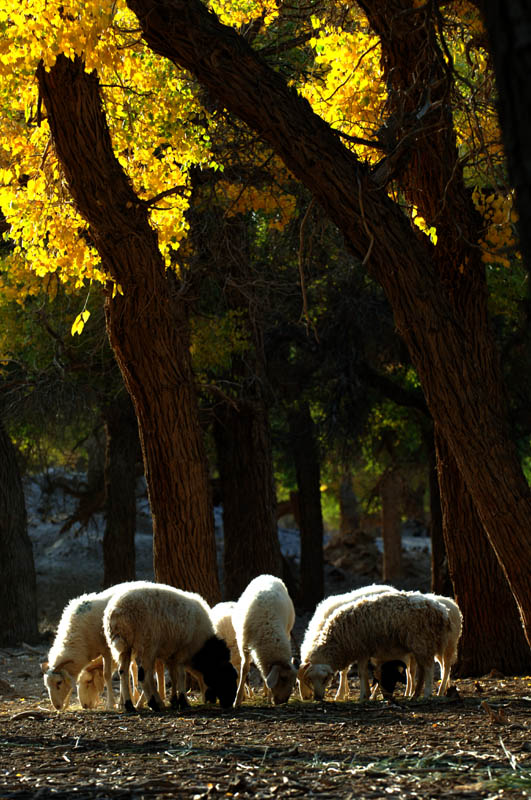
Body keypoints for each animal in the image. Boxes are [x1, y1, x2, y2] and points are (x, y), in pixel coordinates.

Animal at [40, 580, 151, 712]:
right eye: (47, 685)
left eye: (59, 683)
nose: (56, 706)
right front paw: (66, 705)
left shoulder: (107, 650)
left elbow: (106, 675)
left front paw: (111, 704)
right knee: (132, 668)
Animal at [103, 580, 238, 712]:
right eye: (227, 676)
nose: (228, 703)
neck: (202, 647)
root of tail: (117, 611)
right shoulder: (183, 650)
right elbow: (181, 675)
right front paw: (183, 701)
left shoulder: (170, 654)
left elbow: (174, 676)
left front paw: (174, 700)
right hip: (146, 644)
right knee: (143, 676)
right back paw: (153, 704)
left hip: (124, 647)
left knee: (123, 672)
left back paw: (129, 705)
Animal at [234, 576, 300, 708]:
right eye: (283, 678)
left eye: (293, 681)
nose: (283, 702)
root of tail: (268, 575)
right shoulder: (243, 645)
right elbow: (244, 669)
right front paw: (237, 700)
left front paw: (269, 697)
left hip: (288, 631)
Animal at [298, 592, 450, 700]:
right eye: (310, 679)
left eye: (325, 679)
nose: (317, 698)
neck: (337, 639)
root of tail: (441, 610)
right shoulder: (363, 651)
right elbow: (364, 673)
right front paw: (366, 694)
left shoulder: (362, 649)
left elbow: (361, 673)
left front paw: (363, 696)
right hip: (420, 646)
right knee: (423, 670)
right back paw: (415, 694)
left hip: (422, 641)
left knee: (429, 669)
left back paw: (427, 694)